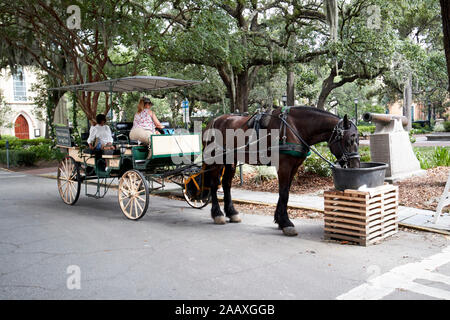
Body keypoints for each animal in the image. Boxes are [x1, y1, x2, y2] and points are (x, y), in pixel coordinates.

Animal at [202, 106, 360, 236]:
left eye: (358, 140)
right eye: (349, 141)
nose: (356, 165)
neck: (294, 127)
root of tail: (212, 122)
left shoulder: (294, 167)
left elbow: (286, 192)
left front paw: (279, 219)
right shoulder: (284, 166)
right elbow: (283, 193)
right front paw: (286, 223)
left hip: (231, 160)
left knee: (226, 184)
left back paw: (232, 213)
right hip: (215, 160)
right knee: (214, 184)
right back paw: (217, 214)